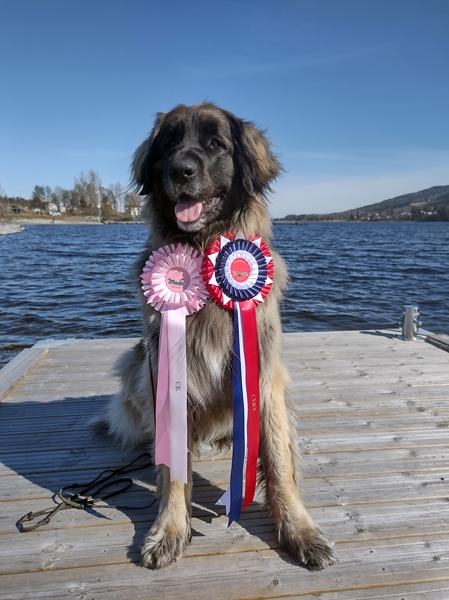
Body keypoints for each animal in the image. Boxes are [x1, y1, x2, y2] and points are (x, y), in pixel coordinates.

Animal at [91, 104, 334, 572]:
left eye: (216, 144)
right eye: (169, 143)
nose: (181, 170)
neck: (204, 256)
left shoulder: (264, 372)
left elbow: (279, 460)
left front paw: (298, 528)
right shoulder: (162, 369)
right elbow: (172, 469)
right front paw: (170, 527)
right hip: (134, 362)